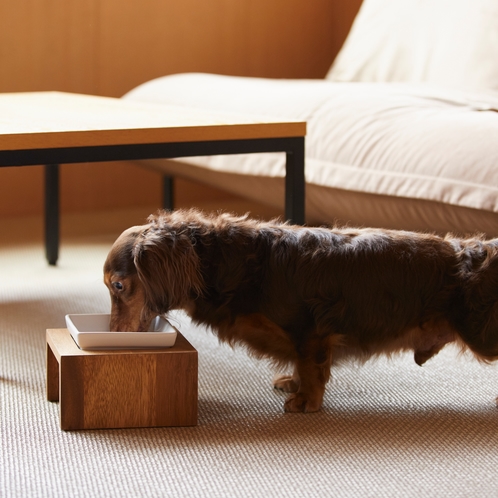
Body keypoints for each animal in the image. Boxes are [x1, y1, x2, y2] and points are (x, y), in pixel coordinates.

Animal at [103, 209, 498, 412]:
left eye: (118, 286)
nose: (114, 336)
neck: (233, 264)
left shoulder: (312, 329)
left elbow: (310, 366)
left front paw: (306, 399)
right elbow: (300, 364)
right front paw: (293, 382)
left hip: (484, 335)